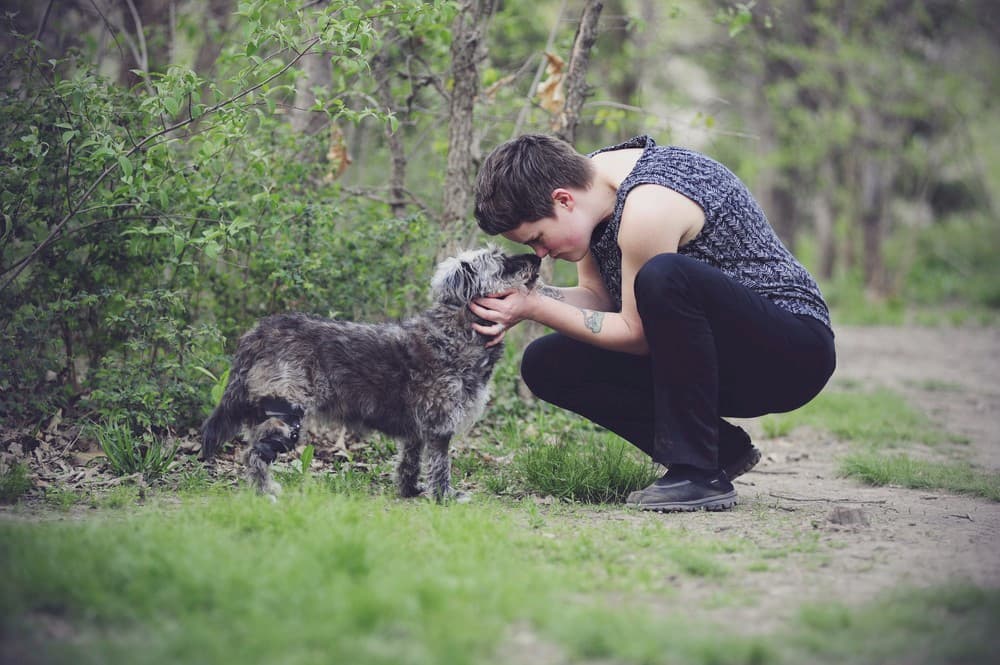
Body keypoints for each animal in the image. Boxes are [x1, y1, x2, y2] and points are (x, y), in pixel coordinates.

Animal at [201, 248, 540, 498]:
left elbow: (409, 462)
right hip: (286, 416)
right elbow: (440, 466)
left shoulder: (417, 432)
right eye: (502, 264)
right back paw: (265, 493)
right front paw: (445, 497)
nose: (537, 258)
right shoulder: (440, 427)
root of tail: (260, 332)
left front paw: (409, 491)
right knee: (254, 455)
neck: (456, 330)